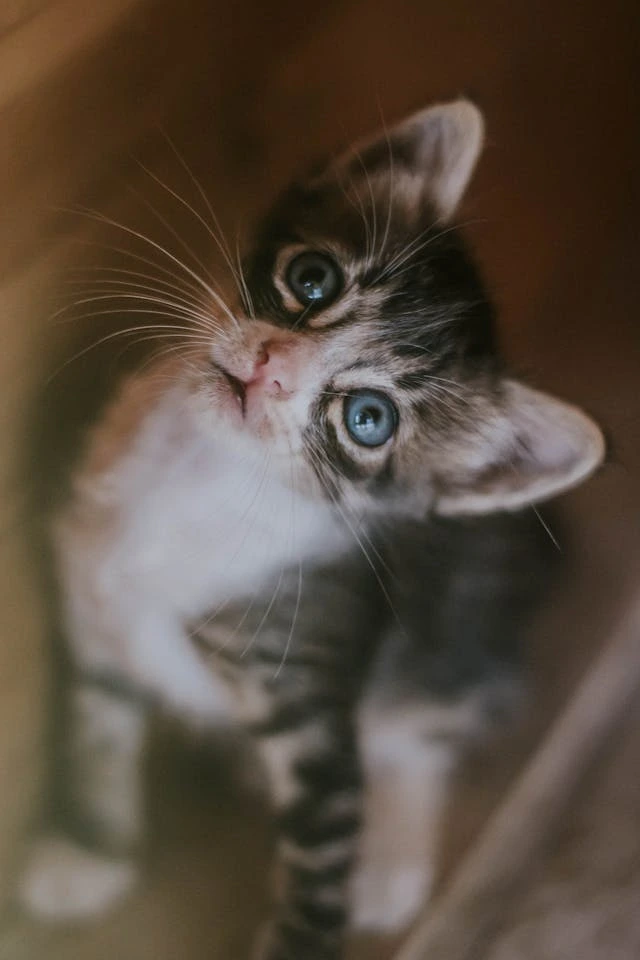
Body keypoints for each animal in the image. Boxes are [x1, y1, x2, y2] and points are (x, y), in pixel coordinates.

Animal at [17, 101, 604, 956]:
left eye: (369, 418)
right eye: (312, 279)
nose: (270, 367)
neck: (199, 472)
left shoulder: (310, 690)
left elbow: (321, 857)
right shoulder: (94, 603)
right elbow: (96, 731)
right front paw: (89, 852)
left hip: (467, 622)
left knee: (429, 722)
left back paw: (393, 855)